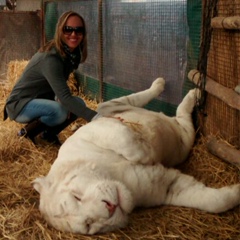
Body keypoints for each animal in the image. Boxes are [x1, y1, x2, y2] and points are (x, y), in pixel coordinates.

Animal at [32, 78, 240, 234]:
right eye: (88, 224)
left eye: (76, 197)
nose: (110, 208)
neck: (119, 179)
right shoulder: (166, 187)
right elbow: (213, 201)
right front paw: (236, 191)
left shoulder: (94, 132)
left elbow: (126, 139)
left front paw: (148, 154)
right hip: (184, 141)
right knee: (182, 117)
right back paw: (191, 95)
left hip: (108, 108)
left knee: (124, 102)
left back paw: (167, 85)